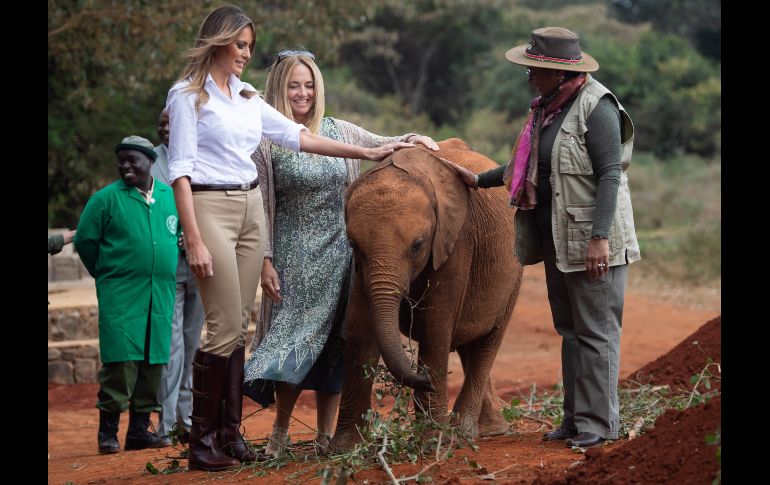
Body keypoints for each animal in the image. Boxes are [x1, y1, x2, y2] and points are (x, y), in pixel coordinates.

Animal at [330, 137, 520, 450]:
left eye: (417, 246)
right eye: (353, 244)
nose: (423, 378)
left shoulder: (455, 239)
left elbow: (435, 325)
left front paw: (432, 441)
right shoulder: (361, 267)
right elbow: (360, 327)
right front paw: (344, 448)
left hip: (514, 275)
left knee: (487, 342)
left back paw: (464, 433)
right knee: (469, 343)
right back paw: (488, 430)